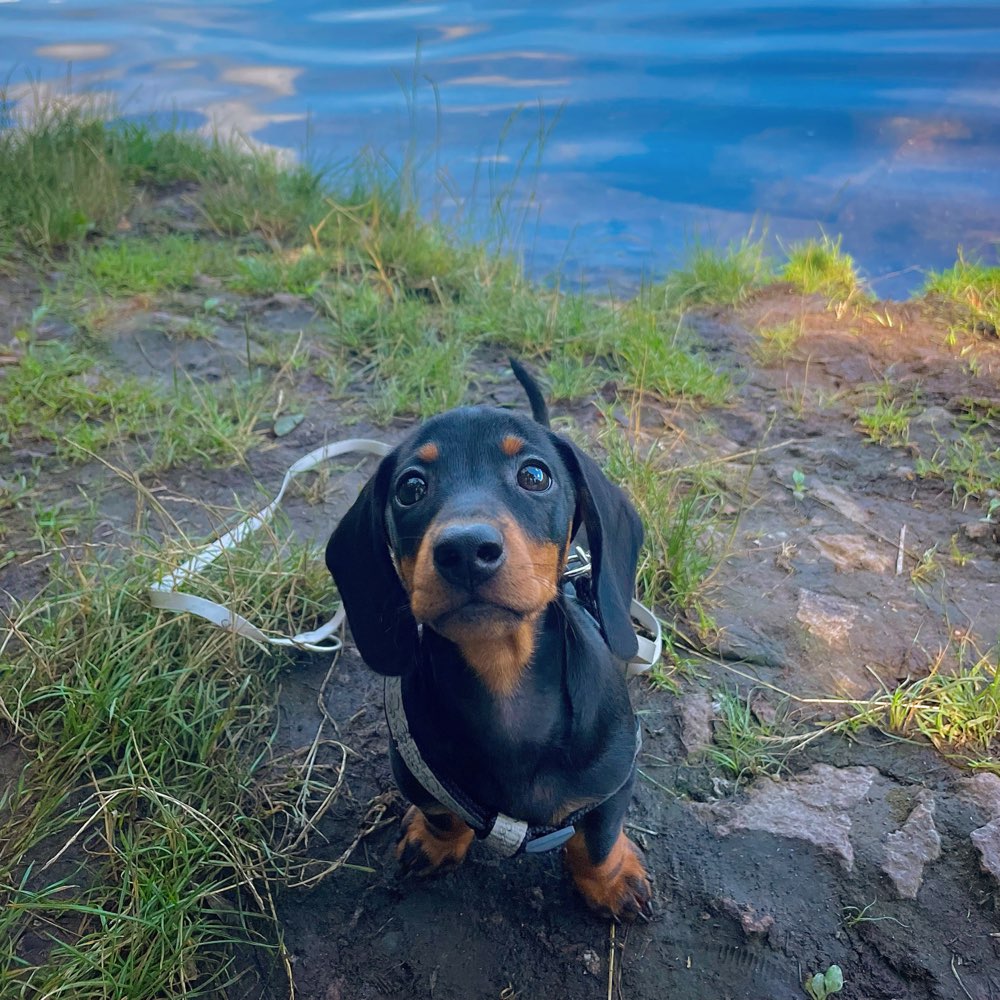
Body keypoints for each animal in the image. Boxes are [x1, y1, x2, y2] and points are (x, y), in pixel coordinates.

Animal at [328, 364, 652, 916]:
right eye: (410, 487)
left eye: (535, 475)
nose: (464, 550)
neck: (504, 678)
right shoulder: (413, 767)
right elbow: (440, 812)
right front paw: (435, 841)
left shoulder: (614, 780)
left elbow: (598, 838)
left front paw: (609, 881)